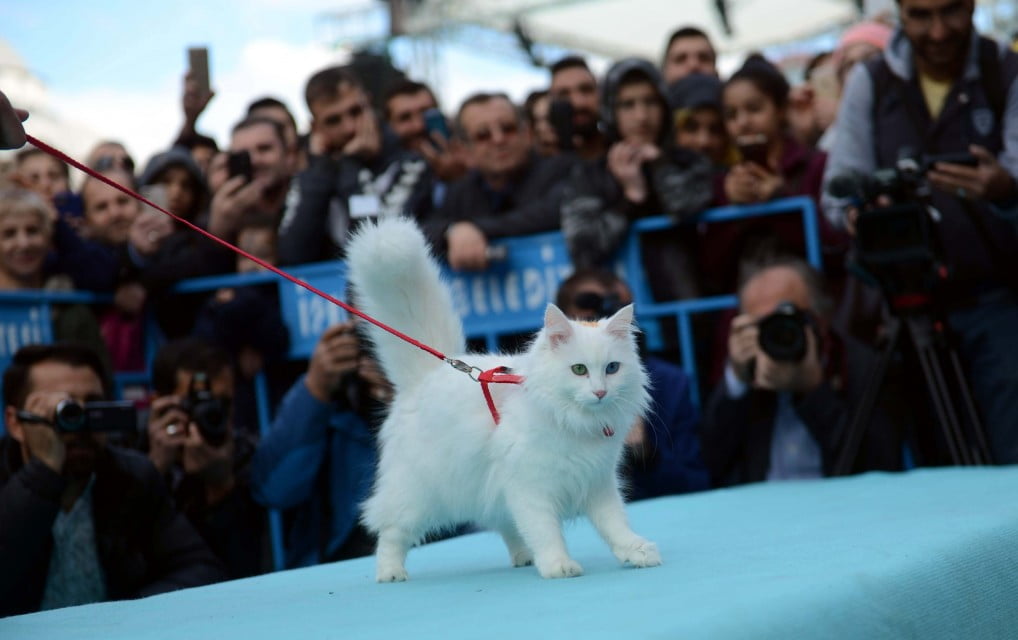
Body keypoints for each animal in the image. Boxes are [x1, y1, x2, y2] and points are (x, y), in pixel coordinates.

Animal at [345, 217, 661, 581]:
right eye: (579, 370)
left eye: (612, 368)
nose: (600, 392)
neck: (572, 420)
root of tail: (427, 374)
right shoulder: (530, 487)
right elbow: (545, 531)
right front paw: (558, 565)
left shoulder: (598, 483)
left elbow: (615, 525)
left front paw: (636, 552)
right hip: (417, 494)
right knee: (391, 532)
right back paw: (390, 573)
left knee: (507, 527)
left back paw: (523, 558)